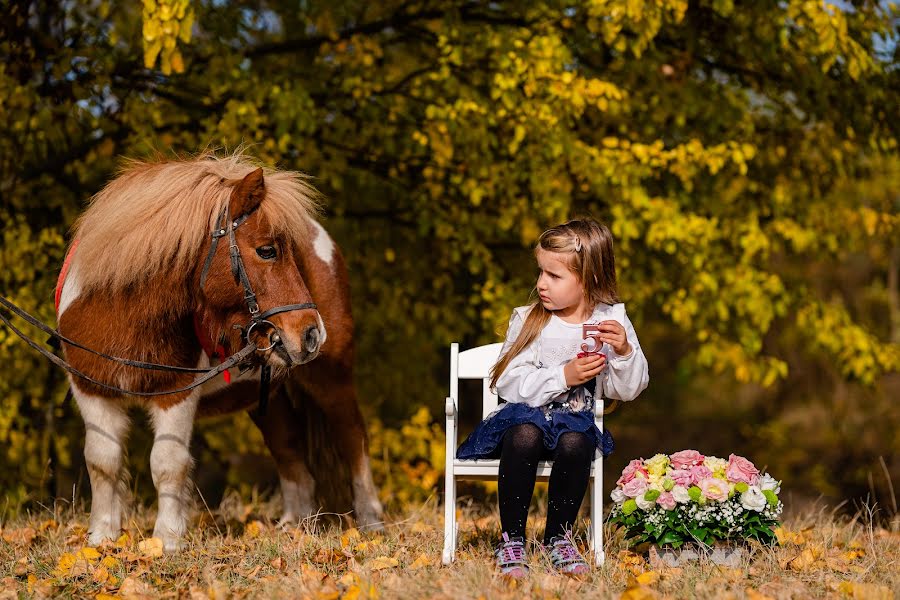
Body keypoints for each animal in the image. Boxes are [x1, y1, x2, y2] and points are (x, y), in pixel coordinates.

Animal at [57, 152, 384, 552]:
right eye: (267, 250)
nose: (312, 333)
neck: (120, 312)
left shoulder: (175, 392)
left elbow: (167, 462)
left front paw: (166, 541)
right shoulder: (91, 390)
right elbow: (102, 461)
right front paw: (102, 539)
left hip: (330, 379)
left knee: (353, 439)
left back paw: (371, 523)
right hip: (266, 394)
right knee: (289, 449)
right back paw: (294, 527)